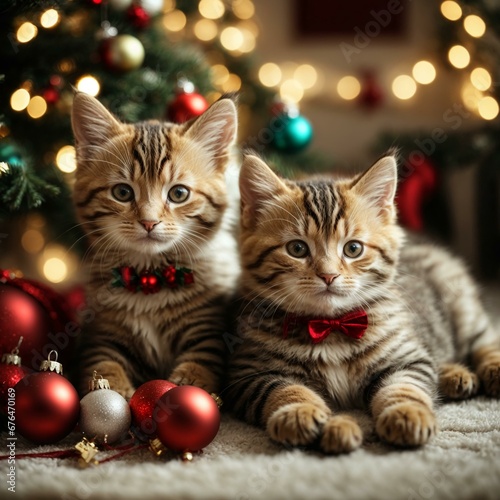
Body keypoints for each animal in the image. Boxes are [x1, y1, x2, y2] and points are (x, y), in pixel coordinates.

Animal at [71, 93, 240, 398]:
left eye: (179, 193)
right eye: (122, 192)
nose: (149, 222)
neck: (152, 279)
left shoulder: (208, 333)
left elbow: (198, 369)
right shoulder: (99, 336)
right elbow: (102, 366)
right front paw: (117, 392)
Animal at [228, 154, 500, 456]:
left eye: (353, 249)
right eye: (297, 249)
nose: (328, 275)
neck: (331, 327)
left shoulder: (404, 358)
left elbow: (405, 386)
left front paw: (406, 414)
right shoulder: (249, 374)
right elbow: (284, 389)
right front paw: (299, 412)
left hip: (458, 300)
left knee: (484, 338)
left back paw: (490, 369)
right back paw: (454, 375)